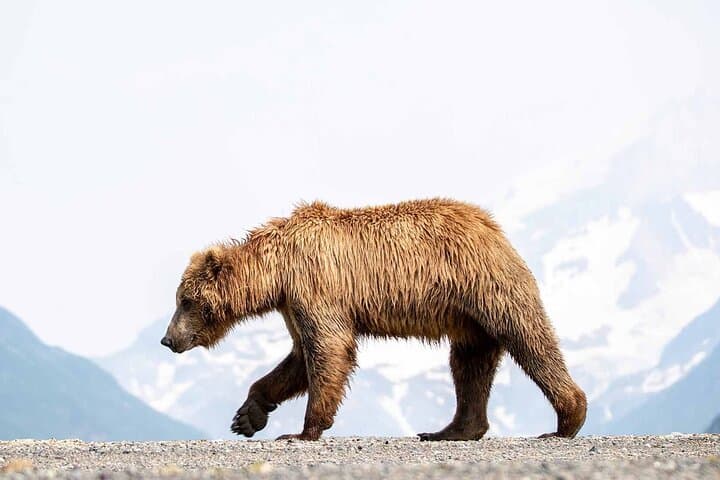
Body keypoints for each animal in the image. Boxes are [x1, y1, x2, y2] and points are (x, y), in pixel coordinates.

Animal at [161, 198, 587, 441]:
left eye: (184, 300)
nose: (167, 339)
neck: (276, 272)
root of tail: (494, 227)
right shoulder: (293, 304)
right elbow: (297, 359)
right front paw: (247, 417)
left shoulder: (316, 286)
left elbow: (328, 349)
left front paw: (302, 431)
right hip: (469, 317)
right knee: (470, 363)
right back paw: (451, 430)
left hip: (486, 285)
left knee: (529, 340)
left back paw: (567, 418)